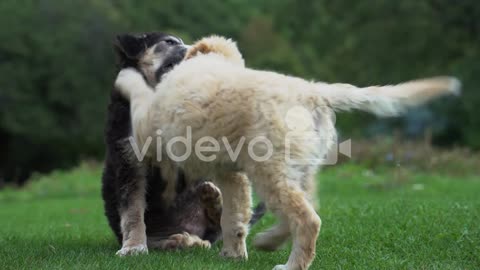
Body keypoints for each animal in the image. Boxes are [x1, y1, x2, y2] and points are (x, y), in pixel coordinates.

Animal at [102, 32, 264, 256]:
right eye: (169, 42)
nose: (200, 50)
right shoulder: (130, 161)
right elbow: (132, 211)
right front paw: (133, 247)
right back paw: (180, 240)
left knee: (219, 221)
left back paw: (212, 204)